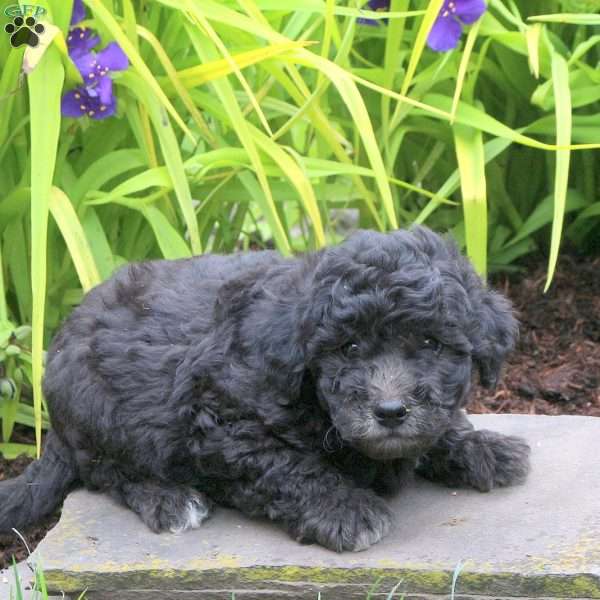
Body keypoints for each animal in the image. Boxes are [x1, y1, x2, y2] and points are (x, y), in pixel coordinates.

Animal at [0, 226, 528, 552]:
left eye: (430, 343)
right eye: (351, 346)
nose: (390, 411)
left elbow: (440, 426)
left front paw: (481, 446)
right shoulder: (223, 425)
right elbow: (290, 467)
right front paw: (344, 509)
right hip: (105, 413)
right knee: (109, 471)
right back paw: (169, 500)